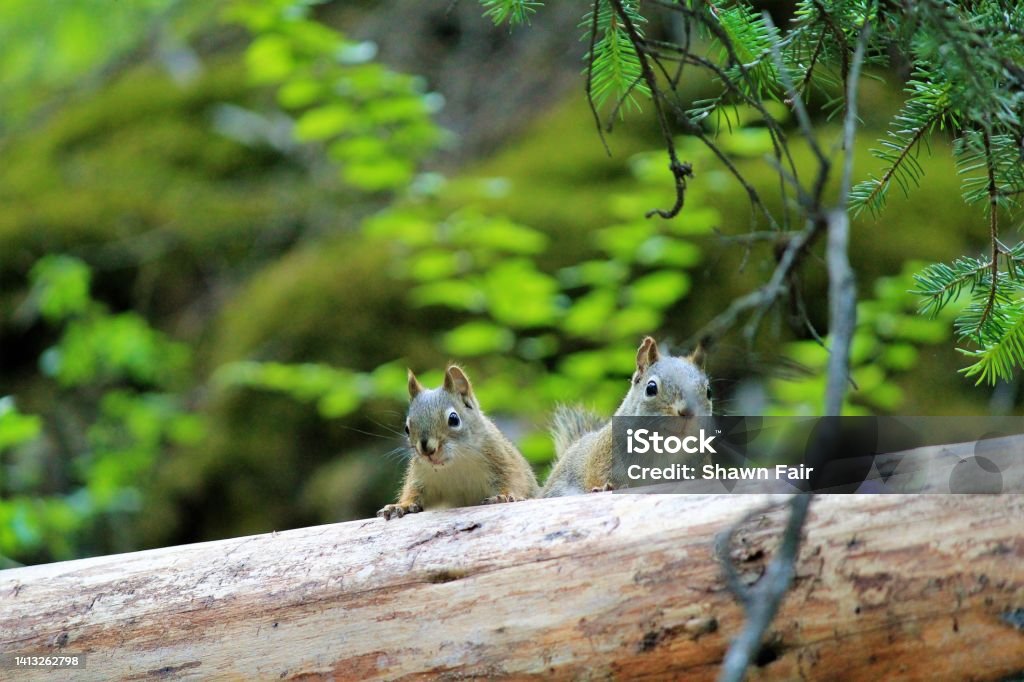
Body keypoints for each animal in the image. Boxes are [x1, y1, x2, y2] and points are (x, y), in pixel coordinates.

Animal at [374, 364, 536, 518]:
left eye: (454, 419)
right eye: (407, 428)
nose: (427, 450)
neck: (456, 463)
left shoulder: (501, 459)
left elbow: (513, 480)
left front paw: (504, 496)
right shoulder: (420, 475)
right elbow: (413, 491)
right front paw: (402, 505)